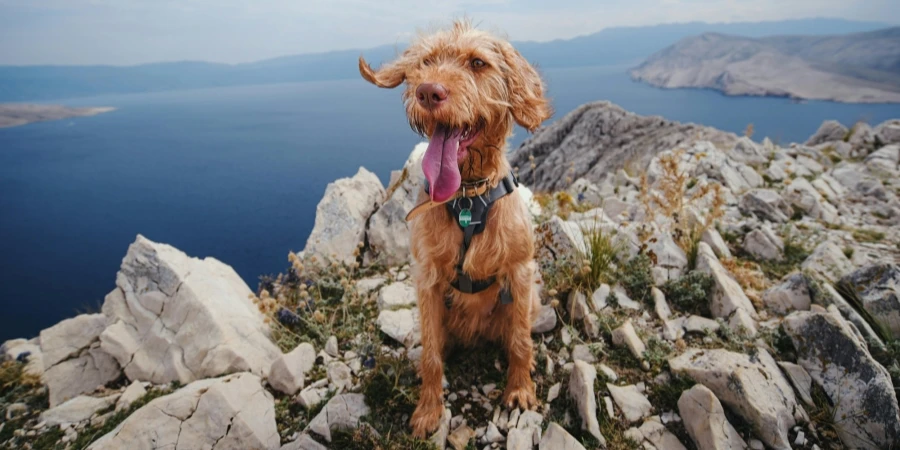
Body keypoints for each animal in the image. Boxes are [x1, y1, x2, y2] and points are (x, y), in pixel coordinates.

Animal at [356, 19, 548, 438]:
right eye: (426, 63)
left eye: (477, 63)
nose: (429, 91)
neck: (466, 199)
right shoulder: (427, 279)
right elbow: (431, 356)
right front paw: (429, 411)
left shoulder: (520, 271)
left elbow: (520, 342)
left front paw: (520, 389)